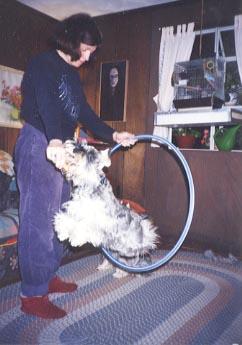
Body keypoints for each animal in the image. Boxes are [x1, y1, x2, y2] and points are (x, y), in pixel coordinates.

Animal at [54, 140, 158, 276]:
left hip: (127, 250)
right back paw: (104, 266)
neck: (90, 185)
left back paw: (121, 272)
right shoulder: (76, 209)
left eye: (91, 154)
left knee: (127, 262)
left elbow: (85, 226)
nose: (73, 146)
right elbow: (67, 219)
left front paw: (76, 238)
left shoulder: (101, 221)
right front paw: (62, 232)